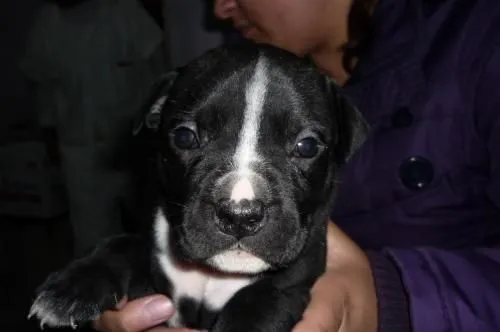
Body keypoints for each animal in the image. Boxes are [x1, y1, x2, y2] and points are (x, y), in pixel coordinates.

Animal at [29, 42, 370, 330]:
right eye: (184, 137)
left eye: (308, 146)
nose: (240, 215)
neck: (217, 273)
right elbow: (122, 242)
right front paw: (72, 288)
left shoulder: (293, 282)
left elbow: (261, 303)